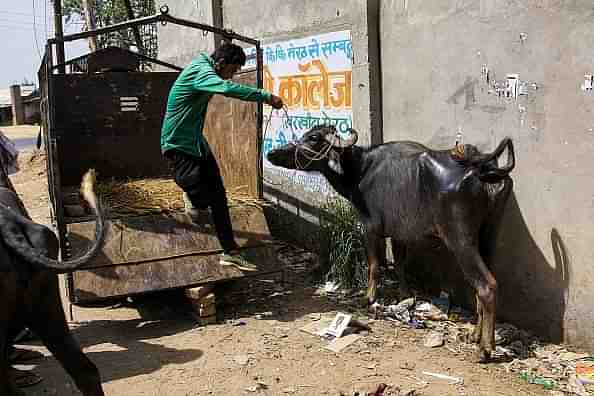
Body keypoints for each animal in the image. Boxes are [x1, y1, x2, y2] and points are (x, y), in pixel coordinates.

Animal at [268, 125, 512, 360]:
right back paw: (476, 335)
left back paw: (485, 349)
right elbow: (401, 266)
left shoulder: (370, 228)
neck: (360, 170)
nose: (271, 153)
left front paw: (369, 298)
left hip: (460, 240)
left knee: (486, 285)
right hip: (486, 237)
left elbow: (375, 265)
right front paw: (405, 297)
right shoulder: (399, 234)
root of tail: (482, 168)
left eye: (314, 138)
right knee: (480, 288)